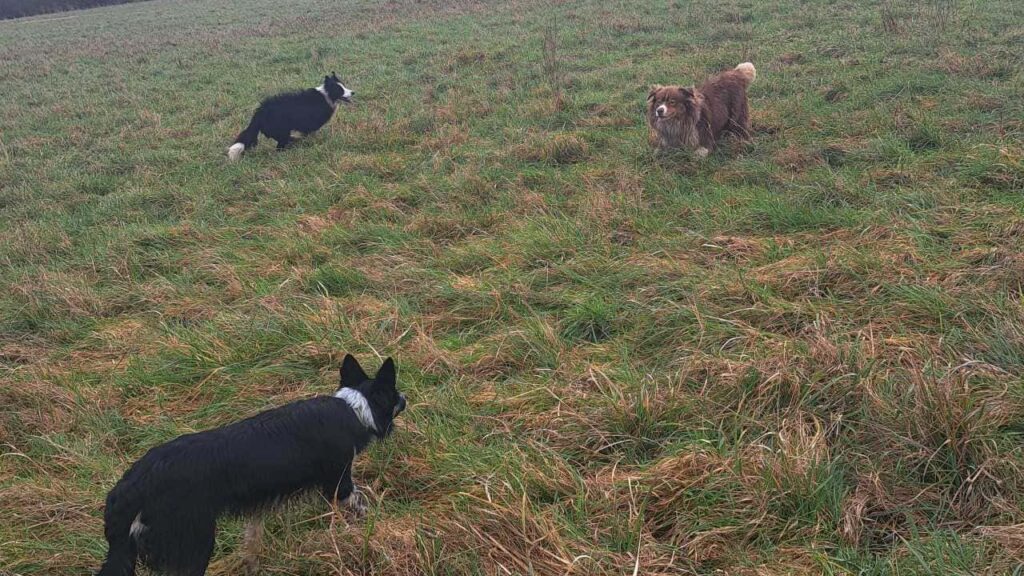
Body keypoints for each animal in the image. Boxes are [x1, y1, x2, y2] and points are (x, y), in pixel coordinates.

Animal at [94, 352, 401, 569]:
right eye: (396, 393)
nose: (406, 397)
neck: (353, 408)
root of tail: (130, 487)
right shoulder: (339, 481)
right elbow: (359, 501)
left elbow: (252, 536)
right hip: (194, 543)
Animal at [226, 72, 354, 161]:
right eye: (340, 89)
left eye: (344, 86)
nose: (353, 92)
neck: (326, 95)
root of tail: (259, 113)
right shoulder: (308, 123)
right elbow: (310, 133)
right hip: (281, 130)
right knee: (281, 145)